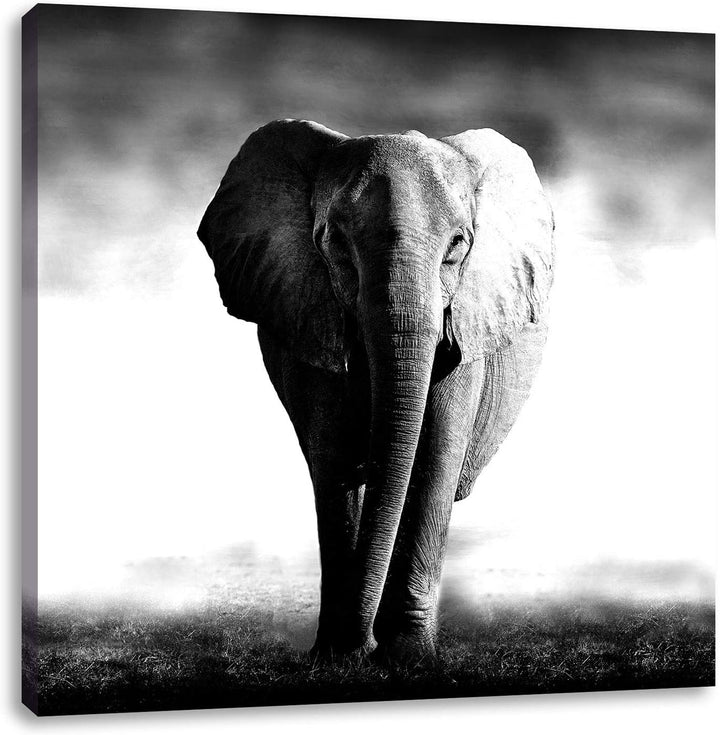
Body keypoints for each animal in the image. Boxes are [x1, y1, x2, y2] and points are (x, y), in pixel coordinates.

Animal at [197, 119, 554, 663]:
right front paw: (338, 657)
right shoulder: (311, 312)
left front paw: (406, 657)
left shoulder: (466, 322)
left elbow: (434, 458)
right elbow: (335, 458)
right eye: (335, 244)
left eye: (458, 245)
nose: (363, 644)